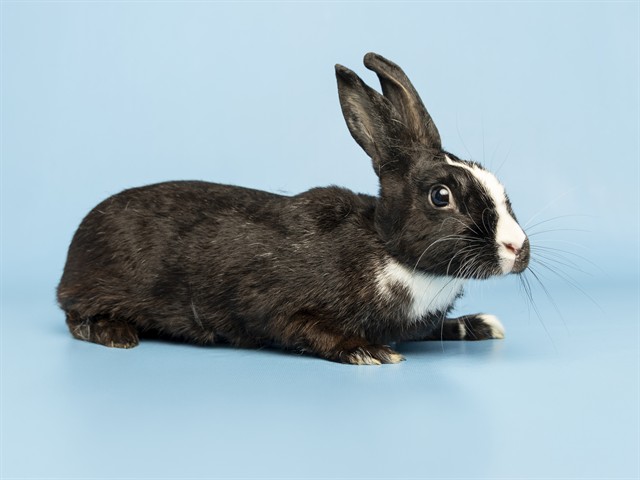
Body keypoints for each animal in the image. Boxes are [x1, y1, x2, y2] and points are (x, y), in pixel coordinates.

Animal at [57, 52, 530, 365]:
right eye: (440, 196)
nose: (518, 249)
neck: (391, 254)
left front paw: (480, 324)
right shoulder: (269, 307)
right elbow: (305, 329)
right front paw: (369, 351)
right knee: (72, 315)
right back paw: (116, 333)